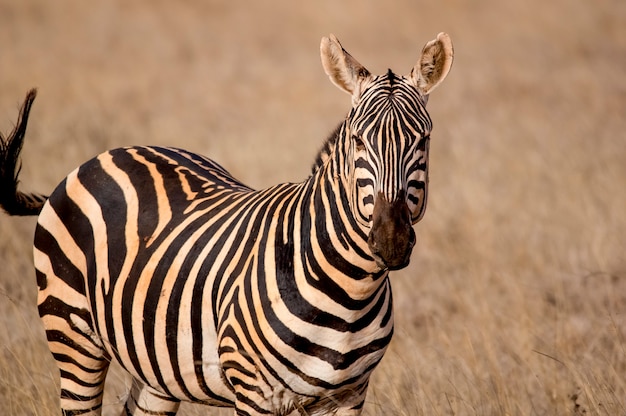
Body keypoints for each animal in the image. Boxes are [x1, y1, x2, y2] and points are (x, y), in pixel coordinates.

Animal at [0, 33, 448, 416]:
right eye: (358, 140)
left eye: (423, 140)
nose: (391, 239)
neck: (352, 292)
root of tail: (102, 156)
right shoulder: (253, 392)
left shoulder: (349, 395)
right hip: (73, 337)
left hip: (155, 367)